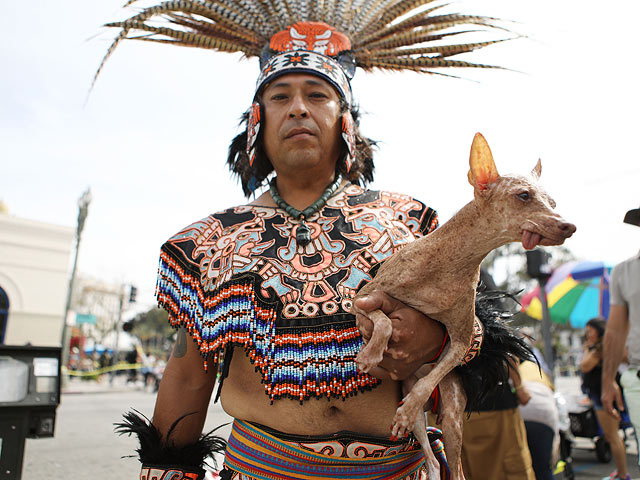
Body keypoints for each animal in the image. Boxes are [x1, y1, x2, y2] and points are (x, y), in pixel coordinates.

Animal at [352, 133, 576, 478]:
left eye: (552, 203)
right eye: (524, 195)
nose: (569, 226)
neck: (451, 264)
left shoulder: (461, 340)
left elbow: (432, 374)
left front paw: (405, 404)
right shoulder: (362, 298)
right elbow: (385, 321)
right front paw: (371, 354)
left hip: (453, 415)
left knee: (450, 465)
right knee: (432, 461)